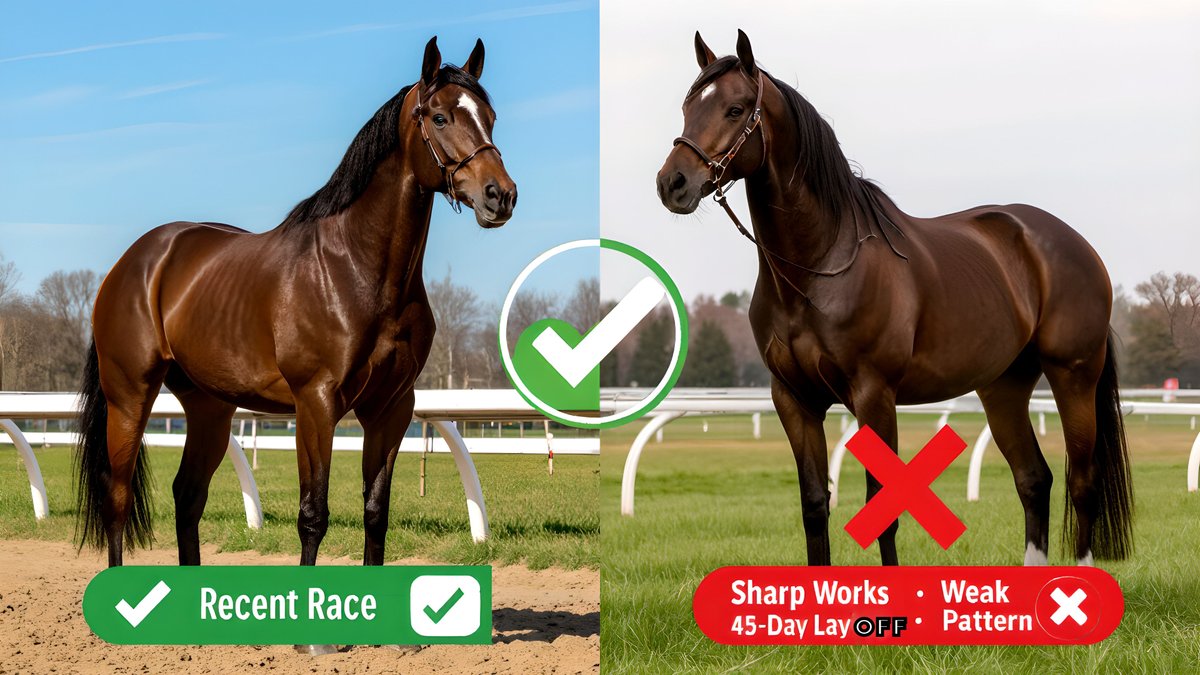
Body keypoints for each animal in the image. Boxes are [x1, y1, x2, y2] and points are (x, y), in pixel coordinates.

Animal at [75, 36, 517, 569]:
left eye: (490, 116)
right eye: (439, 116)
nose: (500, 196)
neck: (358, 270)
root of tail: (133, 262)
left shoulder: (392, 408)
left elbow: (375, 514)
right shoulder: (315, 403)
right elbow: (313, 515)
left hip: (209, 407)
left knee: (188, 495)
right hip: (129, 397)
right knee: (117, 498)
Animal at [656, 30, 1132, 567]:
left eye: (735, 109)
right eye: (688, 106)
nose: (672, 183)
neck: (819, 267)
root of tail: (1074, 243)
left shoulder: (874, 394)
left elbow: (882, 507)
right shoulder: (794, 400)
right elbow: (814, 506)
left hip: (1074, 375)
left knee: (1082, 481)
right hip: (1003, 387)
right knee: (1034, 479)